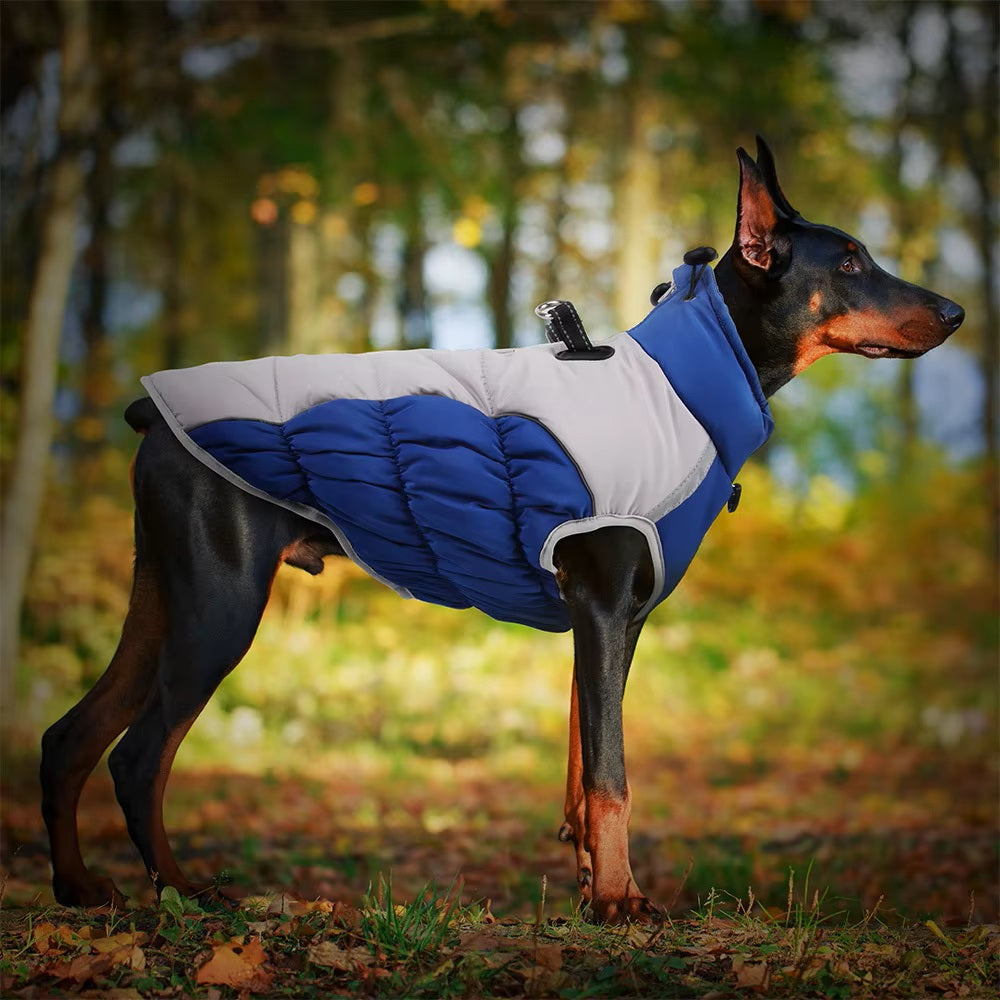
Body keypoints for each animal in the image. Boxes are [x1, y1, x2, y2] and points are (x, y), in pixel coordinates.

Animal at [37, 139, 960, 920]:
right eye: (850, 262)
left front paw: (591, 886)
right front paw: (621, 902)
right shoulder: (603, 607)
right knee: (138, 757)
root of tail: (150, 417)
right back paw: (186, 893)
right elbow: (615, 774)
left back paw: (82, 888)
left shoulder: (610, 623)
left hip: (163, 598)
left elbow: (584, 767)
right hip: (219, 605)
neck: (685, 382)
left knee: (70, 736)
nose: (954, 311)